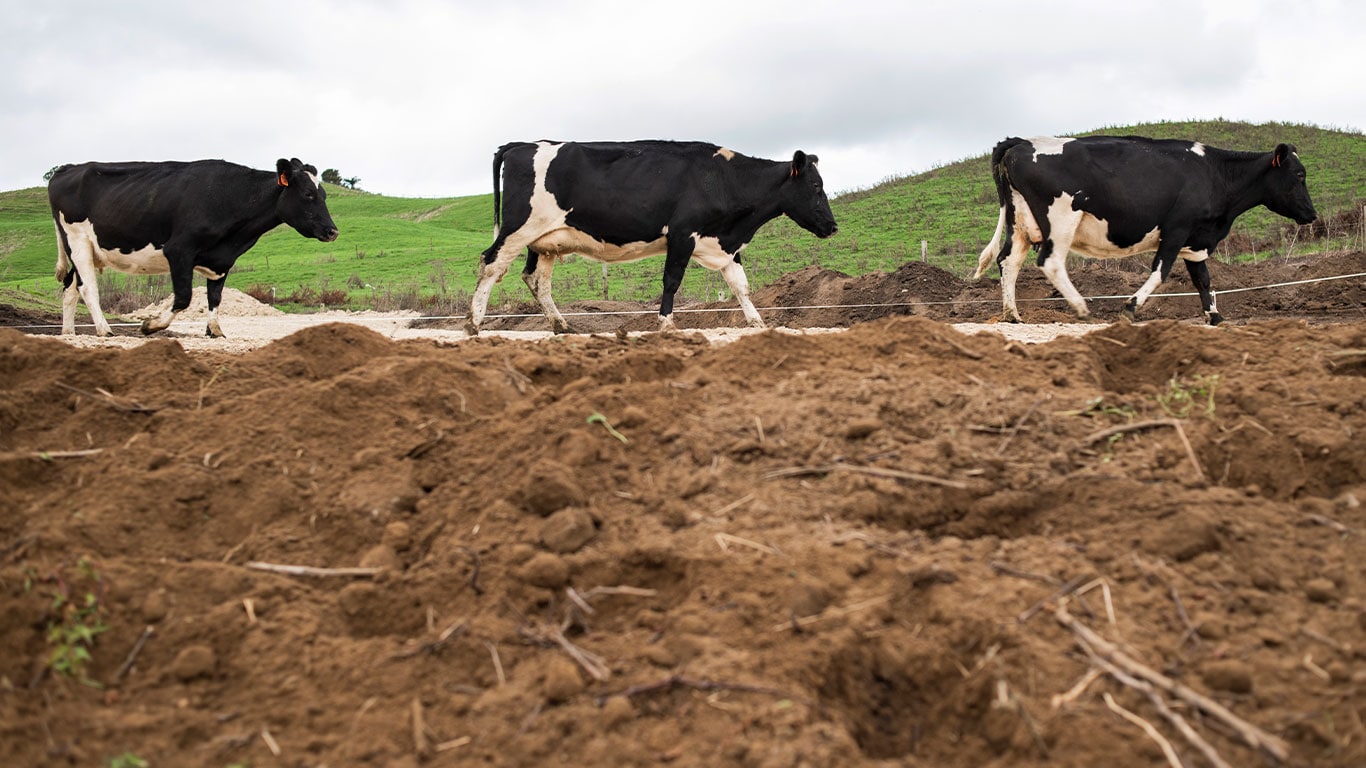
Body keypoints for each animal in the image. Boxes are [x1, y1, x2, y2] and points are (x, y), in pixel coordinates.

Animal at [52, 157, 341, 334]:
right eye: (308, 194)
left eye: (324, 194)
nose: (332, 231)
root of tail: (68, 168)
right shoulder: (179, 251)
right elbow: (183, 297)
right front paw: (151, 325)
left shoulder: (222, 260)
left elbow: (215, 297)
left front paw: (215, 330)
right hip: (77, 240)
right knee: (88, 287)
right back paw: (104, 330)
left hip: (85, 249)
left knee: (70, 287)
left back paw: (69, 332)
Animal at [464, 142, 835, 333]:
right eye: (816, 187)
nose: (832, 227)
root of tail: (524, 144)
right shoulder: (683, 234)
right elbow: (671, 281)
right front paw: (666, 323)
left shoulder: (724, 243)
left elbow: (740, 285)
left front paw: (758, 323)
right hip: (519, 227)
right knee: (490, 263)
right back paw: (473, 322)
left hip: (545, 240)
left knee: (536, 279)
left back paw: (561, 326)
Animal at [978, 137, 1316, 322]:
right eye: (1299, 175)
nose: (1312, 214)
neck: (1214, 174)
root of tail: (1021, 142)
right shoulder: (1176, 229)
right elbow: (1160, 272)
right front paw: (1130, 307)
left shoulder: (1196, 241)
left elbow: (1204, 280)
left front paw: (1216, 317)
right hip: (1060, 219)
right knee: (1050, 262)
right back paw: (1081, 308)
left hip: (1020, 223)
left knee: (1009, 261)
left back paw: (1012, 314)